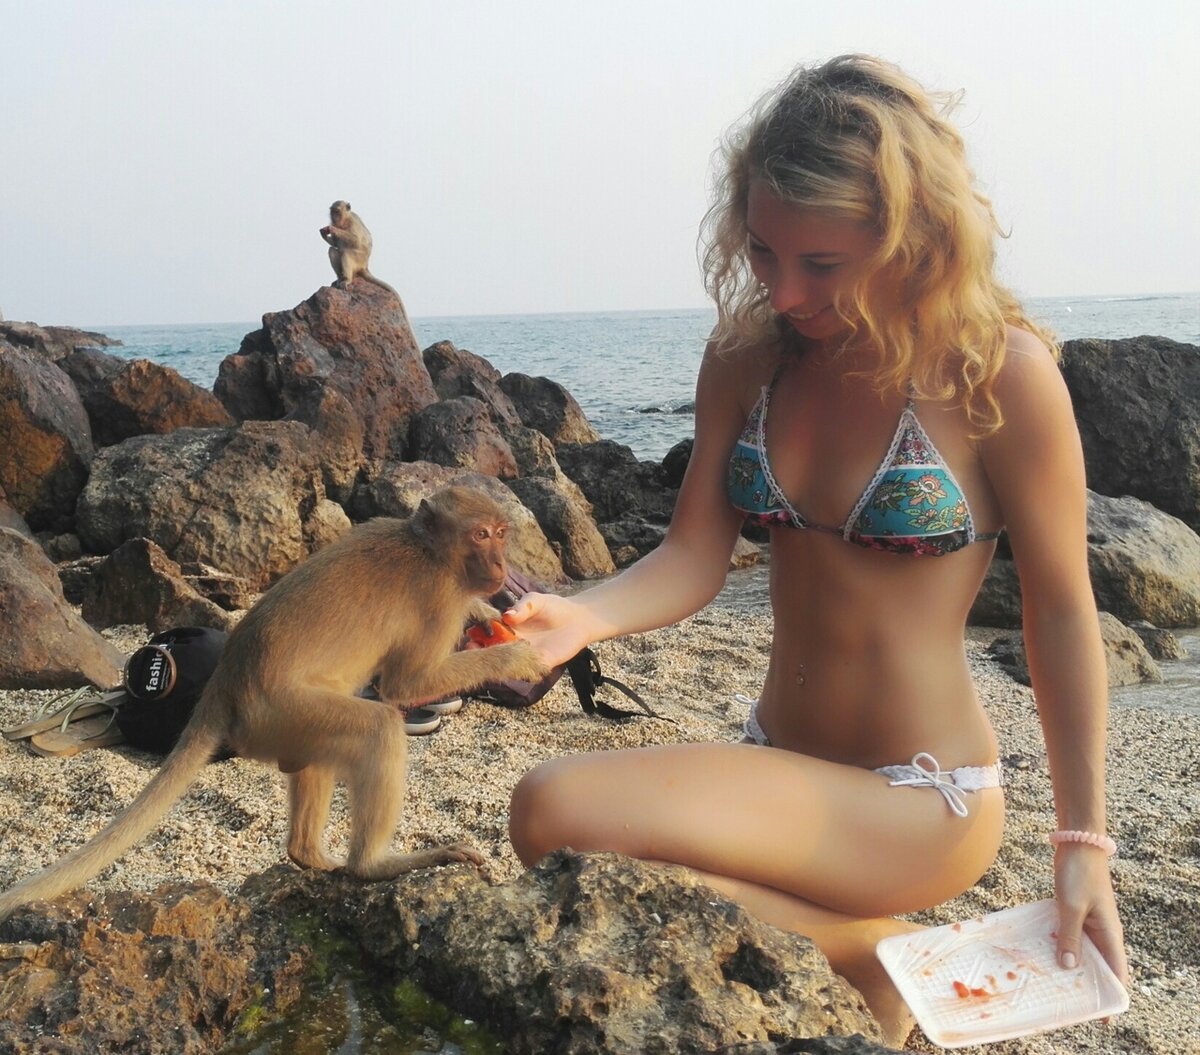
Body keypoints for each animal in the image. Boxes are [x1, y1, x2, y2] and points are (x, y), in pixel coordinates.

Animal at [0, 486, 550, 921]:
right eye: (481, 535)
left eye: (502, 533)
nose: (501, 565)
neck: (429, 550)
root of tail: (225, 679)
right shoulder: (436, 598)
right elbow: (406, 684)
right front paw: (517, 657)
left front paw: (487, 614)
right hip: (277, 713)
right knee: (376, 725)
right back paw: (374, 865)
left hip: (290, 724)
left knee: (321, 755)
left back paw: (309, 856)